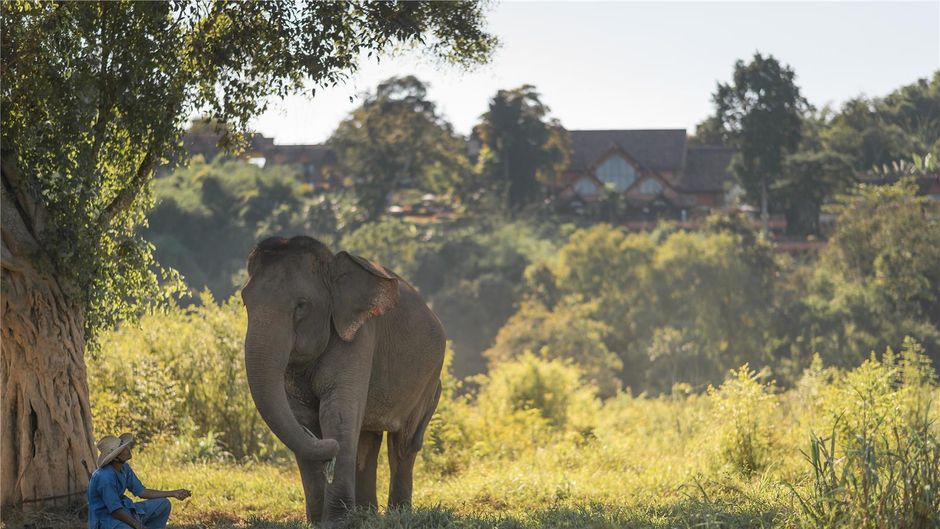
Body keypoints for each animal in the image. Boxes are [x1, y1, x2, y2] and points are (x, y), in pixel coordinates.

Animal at [241, 235, 445, 523]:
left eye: (301, 305)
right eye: (245, 301)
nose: (330, 448)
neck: (332, 265)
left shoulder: (359, 337)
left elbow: (338, 414)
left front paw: (338, 521)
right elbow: (301, 416)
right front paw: (318, 521)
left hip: (429, 381)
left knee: (403, 444)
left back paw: (397, 513)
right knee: (368, 441)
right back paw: (368, 514)